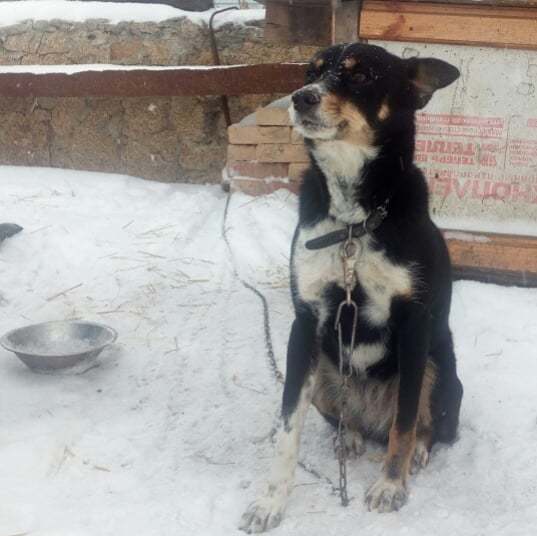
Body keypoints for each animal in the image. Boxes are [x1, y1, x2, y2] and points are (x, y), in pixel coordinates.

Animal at [239, 42, 460, 532]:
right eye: (311, 73)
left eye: (361, 77)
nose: (301, 98)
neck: (352, 225)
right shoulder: (304, 324)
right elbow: (288, 425)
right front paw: (270, 501)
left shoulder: (414, 325)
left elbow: (405, 421)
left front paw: (391, 486)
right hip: (326, 372)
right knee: (345, 417)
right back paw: (350, 437)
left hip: (439, 368)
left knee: (423, 423)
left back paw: (415, 450)